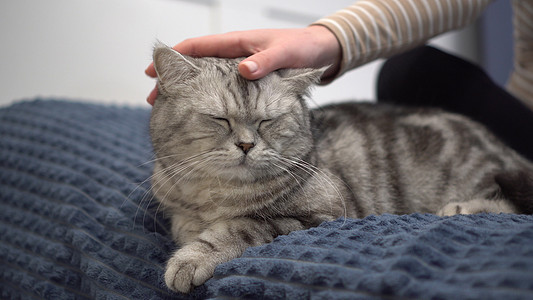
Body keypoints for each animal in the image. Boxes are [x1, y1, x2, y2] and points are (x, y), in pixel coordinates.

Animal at [149, 44, 532, 292]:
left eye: (267, 121)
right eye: (220, 119)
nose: (246, 145)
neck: (213, 195)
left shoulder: (320, 216)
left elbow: (240, 227)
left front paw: (191, 258)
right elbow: (183, 222)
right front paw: (189, 231)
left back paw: (461, 208)